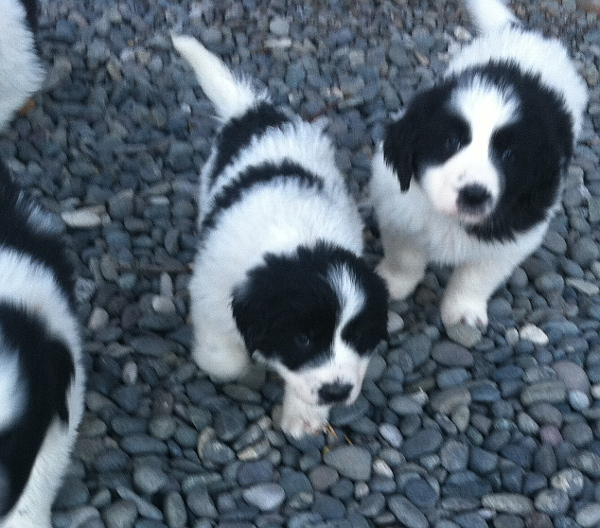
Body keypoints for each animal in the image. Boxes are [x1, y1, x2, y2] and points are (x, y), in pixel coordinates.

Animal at [173, 34, 390, 438]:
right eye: (303, 338)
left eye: (356, 335)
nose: (337, 391)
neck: (300, 241)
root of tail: (255, 112)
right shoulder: (212, 293)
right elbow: (223, 360)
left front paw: (303, 415)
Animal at [370, 0, 584, 332]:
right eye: (451, 142)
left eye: (509, 154)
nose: (473, 195)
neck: (448, 218)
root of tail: (526, 34)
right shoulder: (398, 207)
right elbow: (404, 255)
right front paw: (392, 284)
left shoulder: (513, 236)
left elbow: (477, 277)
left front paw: (462, 312)